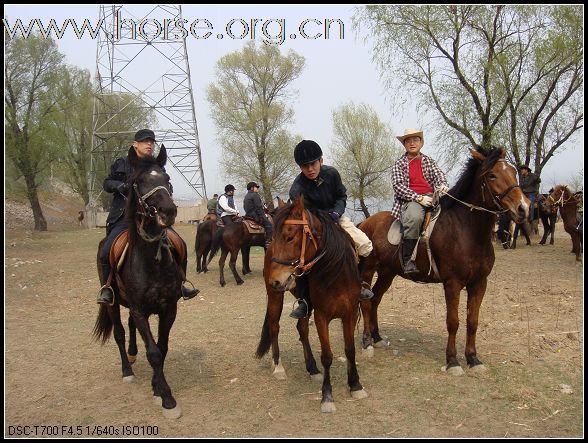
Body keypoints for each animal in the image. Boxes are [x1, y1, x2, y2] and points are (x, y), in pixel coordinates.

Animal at [256, 197, 368, 412]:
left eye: (289, 237)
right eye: (275, 236)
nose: (276, 280)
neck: (335, 273)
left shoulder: (349, 314)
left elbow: (350, 350)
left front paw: (355, 385)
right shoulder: (321, 316)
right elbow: (327, 355)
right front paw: (327, 396)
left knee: (302, 328)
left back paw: (313, 368)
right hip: (275, 297)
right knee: (274, 326)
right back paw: (278, 366)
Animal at [358, 148, 528, 374]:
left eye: (513, 172)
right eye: (492, 175)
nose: (523, 208)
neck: (466, 230)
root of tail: (365, 223)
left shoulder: (479, 283)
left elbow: (472, 321)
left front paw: (473, 359)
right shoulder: (452, 284)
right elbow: (453, 322)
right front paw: (453, 361)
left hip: (388, 272)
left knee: (376, 299)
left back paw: (377, 337)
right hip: (368, 270)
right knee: (366, 302)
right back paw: (367, 342)